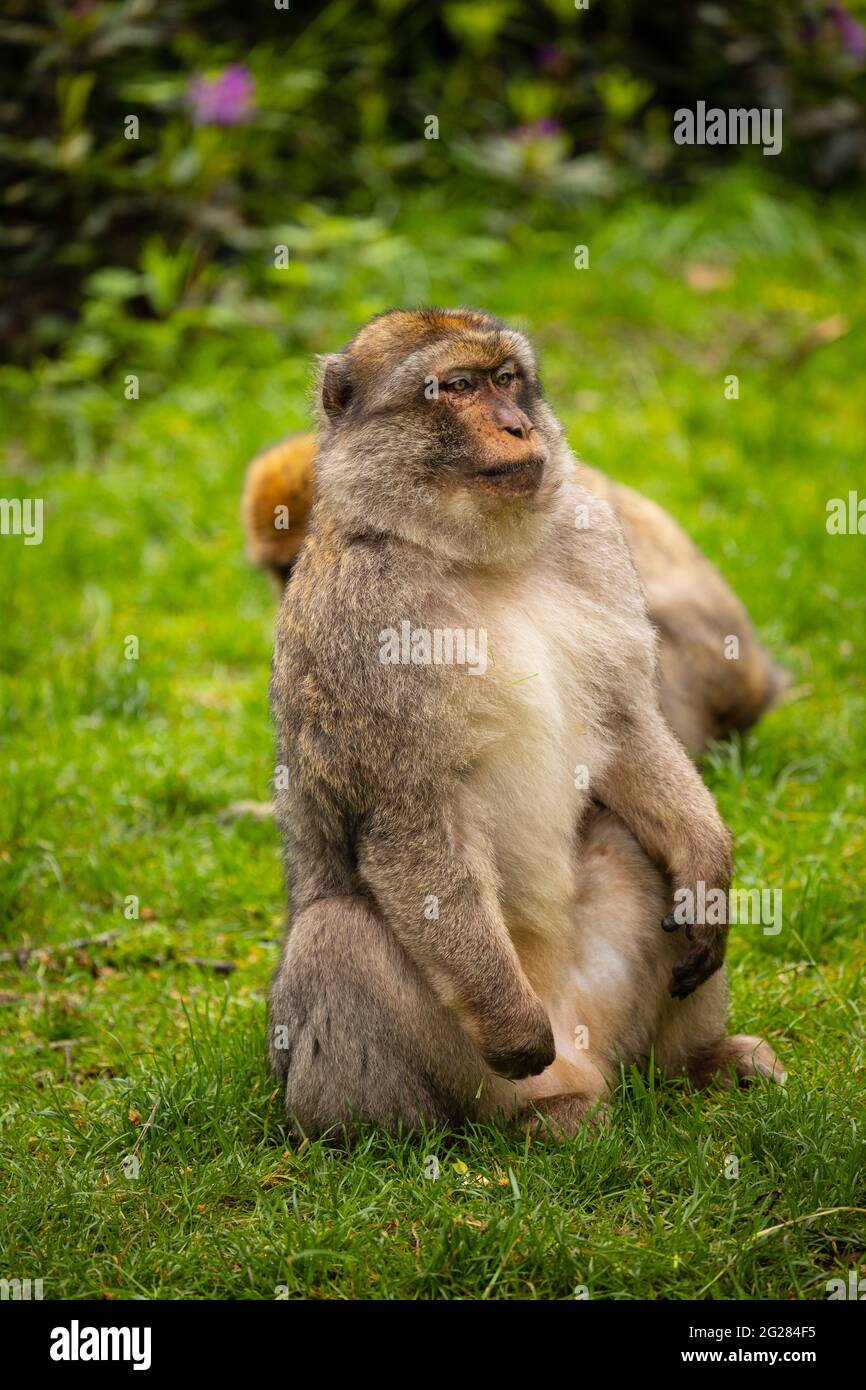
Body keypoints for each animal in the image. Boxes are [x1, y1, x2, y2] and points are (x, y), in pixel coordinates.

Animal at [265, 309, 783, 1134]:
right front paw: (511, 1026)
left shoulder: (593, 538)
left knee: (628, 839)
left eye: (507, 379)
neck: (477, 554)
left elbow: (624, 724)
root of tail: (586, 1061)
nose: (516, 425)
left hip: (615, 1015)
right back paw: (441, 1136)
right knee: (334, 934)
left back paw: (694, 1065)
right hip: (467, 1073)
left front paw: (708, 872)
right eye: (455, 388)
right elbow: (410, 813)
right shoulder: (363, 620)